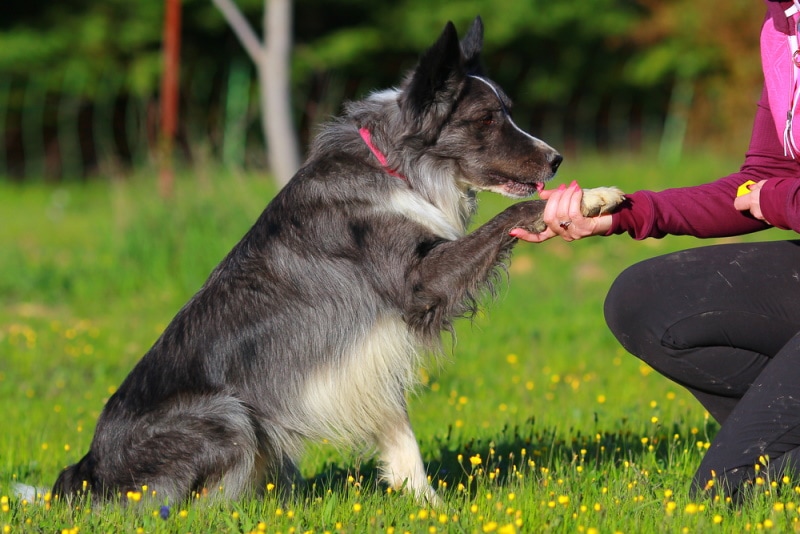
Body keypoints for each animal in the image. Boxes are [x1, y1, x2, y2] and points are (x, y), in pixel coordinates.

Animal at [51, 14, 624, 504]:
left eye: (508, 111)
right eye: (485, 119)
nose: (556, 159)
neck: (398, 166)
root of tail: (86, 470)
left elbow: (398, 430)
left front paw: (424, 504)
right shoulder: (417, 284)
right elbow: (512, 214)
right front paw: (586, 198)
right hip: (227, 413)